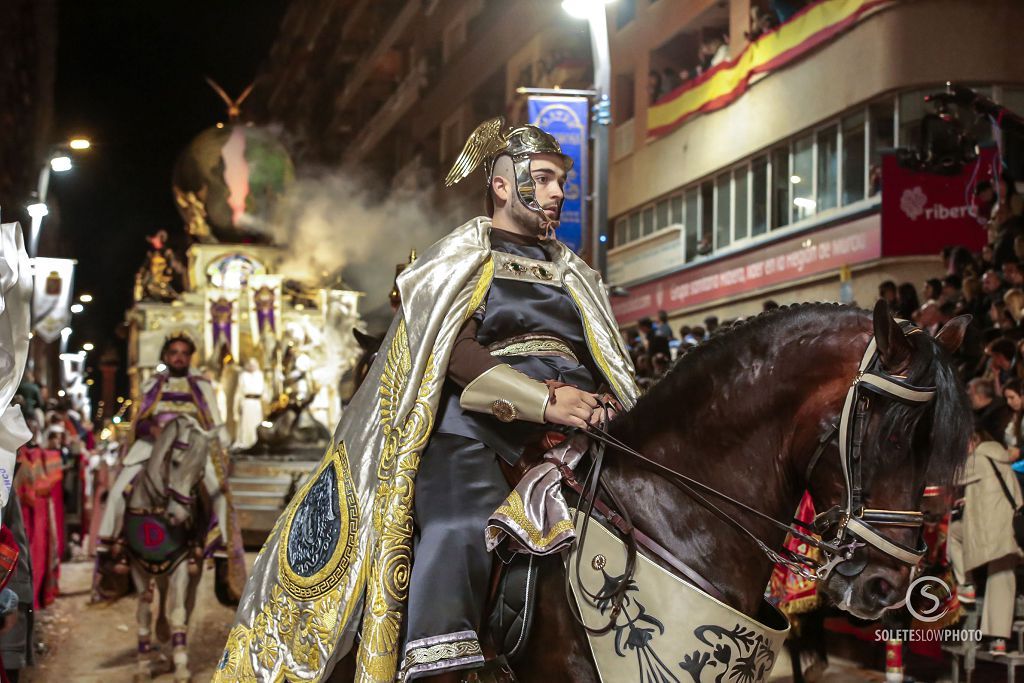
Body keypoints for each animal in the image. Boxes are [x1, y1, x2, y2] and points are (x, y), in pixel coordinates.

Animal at [122, 417, 221, 683]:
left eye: (200, 471)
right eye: (175, 462)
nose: (178, 516)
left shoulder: (181, 564)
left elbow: (178, 612)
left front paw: (181, 666)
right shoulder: (137, 567)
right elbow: (143, 614)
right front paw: (143, 666)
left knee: (186, 604)